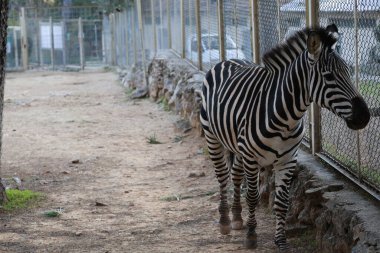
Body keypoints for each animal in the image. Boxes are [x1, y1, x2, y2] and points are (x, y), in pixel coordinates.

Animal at [200, 24, 370, 251]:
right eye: (328, 76)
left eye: (349, 72)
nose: (364, 116)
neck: (285, 119)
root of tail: (228, 60)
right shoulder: (252, 158)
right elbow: (252, 196)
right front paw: (252, 236)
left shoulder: (289, 159)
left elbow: (282, 203)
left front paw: (280, 241)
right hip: (213, 138)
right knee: (222, 176)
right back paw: (225, 221)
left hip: (238, 146)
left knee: (235, 175)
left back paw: (236, 217)